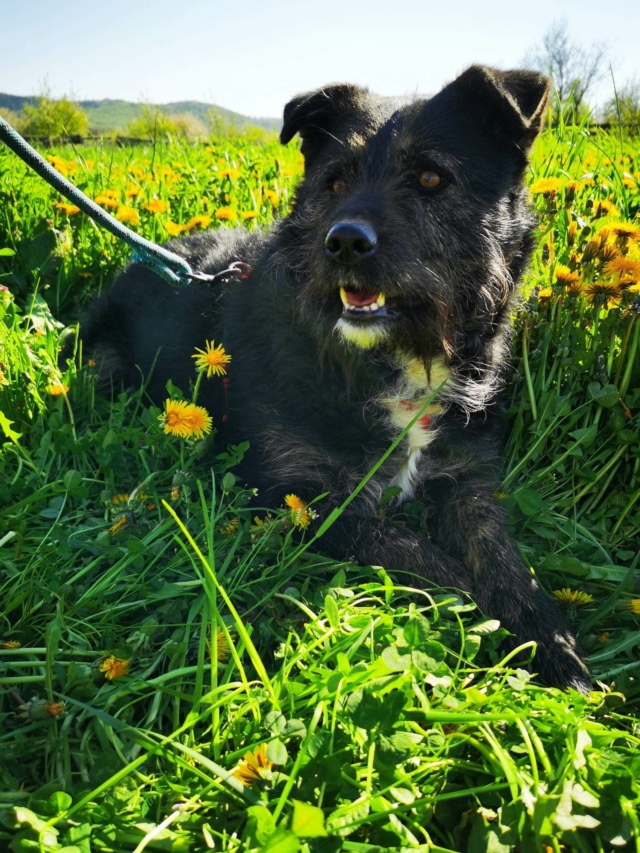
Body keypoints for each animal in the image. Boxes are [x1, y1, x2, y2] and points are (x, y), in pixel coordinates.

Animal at [84, 68, 592, 692]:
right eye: (336, 180)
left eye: (430, 177)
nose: (345, 242)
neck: (396, 358)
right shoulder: (300, 496)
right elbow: (433, 563)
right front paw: (486, 628)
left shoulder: (468, 482)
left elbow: (506, 562)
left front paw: (553, 641)